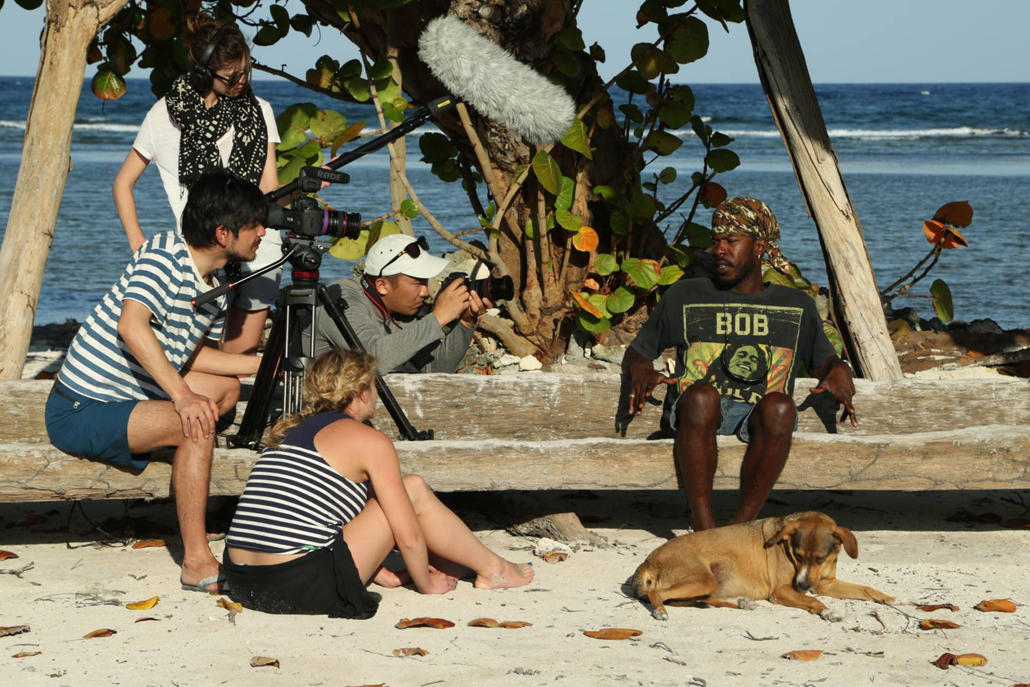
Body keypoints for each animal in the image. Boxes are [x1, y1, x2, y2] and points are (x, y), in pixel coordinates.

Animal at [626, 510, 894, 622]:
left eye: (819, 558)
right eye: (798, 555)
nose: (802, 584)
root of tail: (648, 560)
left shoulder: (824, 583)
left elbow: (865, 589)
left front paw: (888, 598)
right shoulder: (782, 591)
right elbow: (812, 600)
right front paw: (826, 611)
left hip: (709, 581)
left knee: (702, 599)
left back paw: (740, 602)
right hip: (702, 578)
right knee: (657, 594)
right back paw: (661, 611)